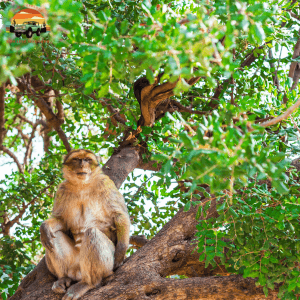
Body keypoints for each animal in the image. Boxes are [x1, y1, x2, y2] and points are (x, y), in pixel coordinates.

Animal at [39, 150, 129, 300]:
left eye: (87, 159)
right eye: (76, 159)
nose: (82, 165)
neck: (82, 185)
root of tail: (79, 273)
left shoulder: (105, 183)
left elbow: (119, 215)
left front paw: (121, 252)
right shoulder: (62, 189)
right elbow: (61, 221)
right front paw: (44, 227)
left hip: (104, 265)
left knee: (92, 232)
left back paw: (88, 283)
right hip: (74, 265)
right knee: (53, 235)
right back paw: (63, 278)